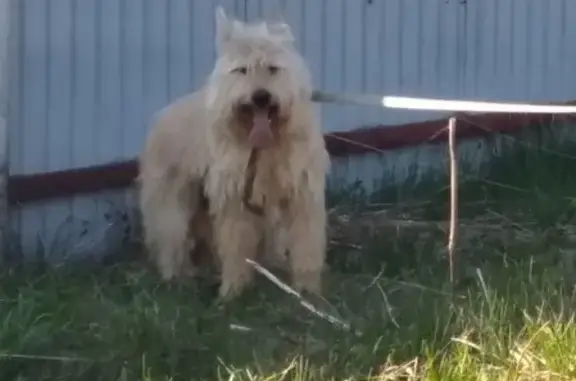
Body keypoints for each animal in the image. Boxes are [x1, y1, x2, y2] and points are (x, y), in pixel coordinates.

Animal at [137, 7, 330, 298]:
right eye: (241, 70)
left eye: (272, 68)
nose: (261, 97)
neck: (266, 144)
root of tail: (161, 116)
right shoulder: (235, 201)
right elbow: (236, 247)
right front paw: (233, 291)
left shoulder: (301, 196)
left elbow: (306, 244)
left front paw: (307, 291)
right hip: (173, 203)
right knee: (172, 240)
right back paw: (177, 280)